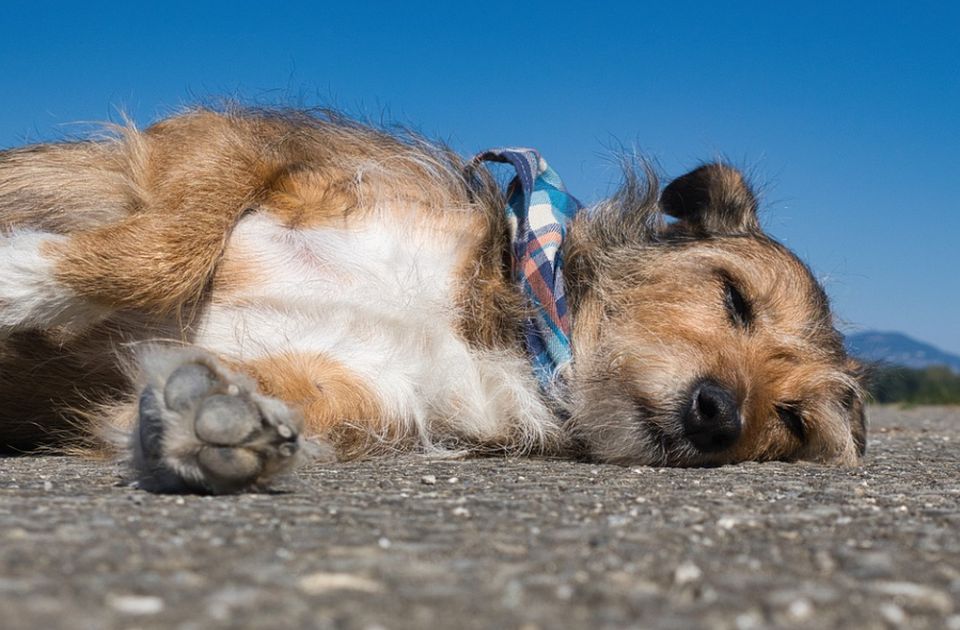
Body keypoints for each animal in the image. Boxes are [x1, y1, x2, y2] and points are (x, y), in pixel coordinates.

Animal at [0, 107, 872, 494]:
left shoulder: (372, 390)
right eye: (734, 297)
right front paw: (22, 275)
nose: (718, 416)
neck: (506, 328)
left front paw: (218, 420)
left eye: (790, 421)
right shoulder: (237, 142)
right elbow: (168, 248)